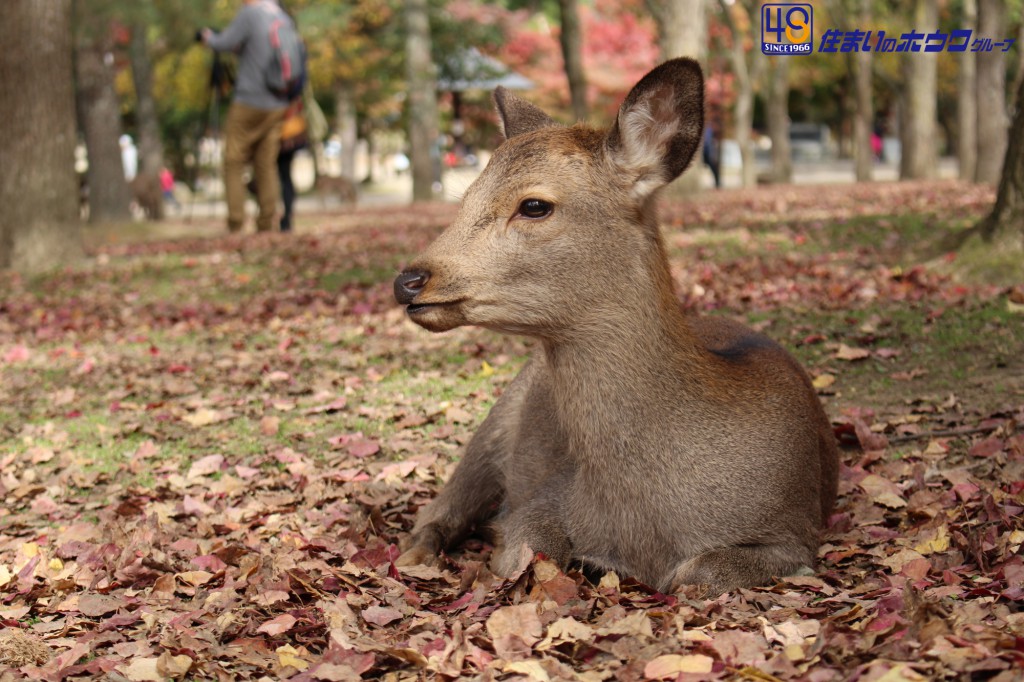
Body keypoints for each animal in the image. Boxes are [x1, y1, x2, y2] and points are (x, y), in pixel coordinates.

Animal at [391, 59, 839, 593]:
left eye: (535, 205)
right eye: (466, 198)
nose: (408, 281)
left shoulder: (795, 531)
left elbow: (698, 572)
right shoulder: (545, 495)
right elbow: (527, 545)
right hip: (498, 418)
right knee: (437, 510)